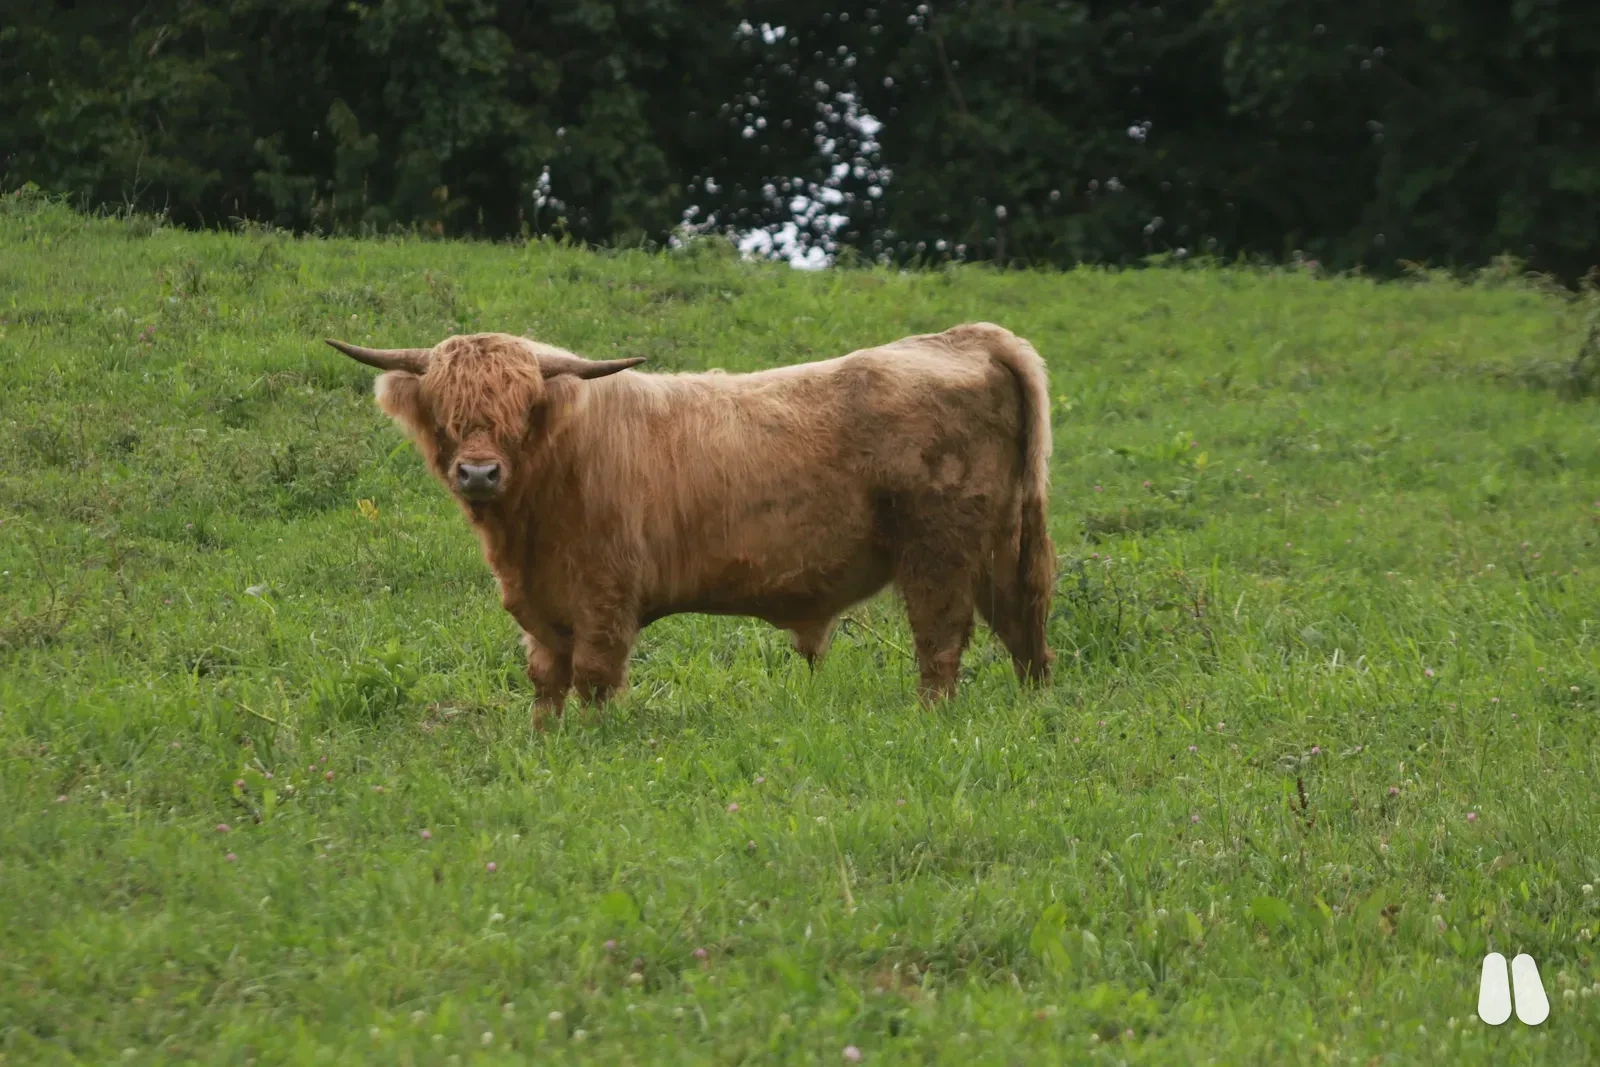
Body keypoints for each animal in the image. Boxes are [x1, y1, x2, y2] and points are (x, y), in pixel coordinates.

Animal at [323, 321, 1055, 723]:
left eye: (522, 407)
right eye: (446, 411)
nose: (478, 473)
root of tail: (964, 338)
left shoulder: (605, 592)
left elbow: (594, 675)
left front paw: (590, 743)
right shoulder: (542, 602)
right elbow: (545, 677)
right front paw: (542, 740)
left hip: (939, 549)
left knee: (941, 639)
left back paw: (931, 718)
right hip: (996, 547)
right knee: (1024, 631)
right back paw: (1032, 711)